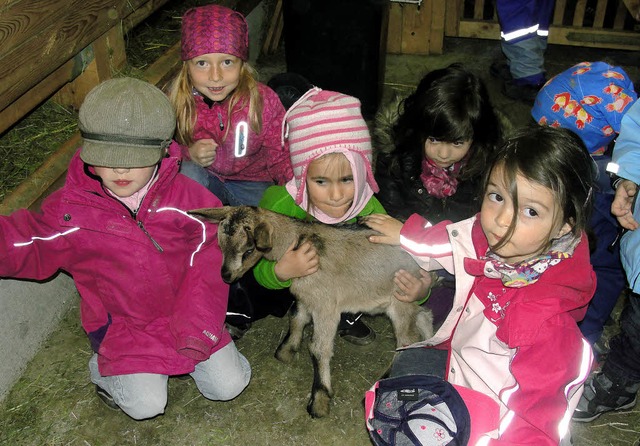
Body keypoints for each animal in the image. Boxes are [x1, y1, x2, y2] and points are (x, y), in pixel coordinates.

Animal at [188, 206, 432, 418]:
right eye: (220, 245)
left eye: (249, 249)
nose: (226, 276)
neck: (298, 241)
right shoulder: (306, 298)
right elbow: (297, 318)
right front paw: (286, 351)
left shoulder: (326, 305)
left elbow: (318, 348)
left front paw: (319, 400)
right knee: (424, 317)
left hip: (400, 298)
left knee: (407, 341)